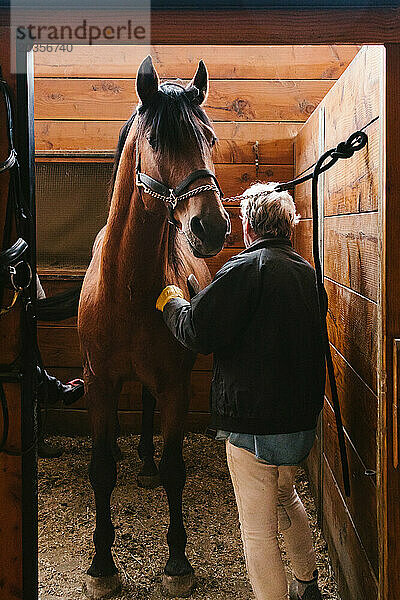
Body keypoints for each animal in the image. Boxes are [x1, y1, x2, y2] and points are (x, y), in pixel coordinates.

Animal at [76, 54, 230, 596]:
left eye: (209, 139)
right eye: (159, 142)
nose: (211, 226)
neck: (127, 287)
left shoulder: (174, 385)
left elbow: (175, 469)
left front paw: (178, 562)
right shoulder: (99, 383)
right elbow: (101, 470)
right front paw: (102, 565)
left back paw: (144, 463)